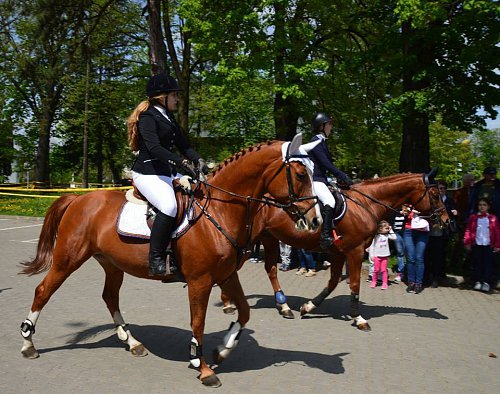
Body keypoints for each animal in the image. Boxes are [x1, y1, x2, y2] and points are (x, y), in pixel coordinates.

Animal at [18, 136, 320, 388]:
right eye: (301, 174)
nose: (316, 220)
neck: (219, 210)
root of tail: (78, 199)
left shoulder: (226, 275)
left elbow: (244, 312)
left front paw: (223, 349)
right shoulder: (200, 281)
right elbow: (198, 322)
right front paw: (203, 367)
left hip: (112, 264)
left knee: (110, 297)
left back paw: (132, 342)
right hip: (67, 259)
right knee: (43, 291)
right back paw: (28, 344)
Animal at [220, 171, 450, 328]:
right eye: (435, 194)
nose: (447, 221)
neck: (365, 204)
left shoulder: (338, 253)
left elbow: (332, 283)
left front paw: (308, 307)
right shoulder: (355, 251)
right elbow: (354, 283)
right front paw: (358, 318)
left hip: (267, 239)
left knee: (269, 269)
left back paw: (281, 306)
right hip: (250, 241)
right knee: (235, 269)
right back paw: (230, 302)